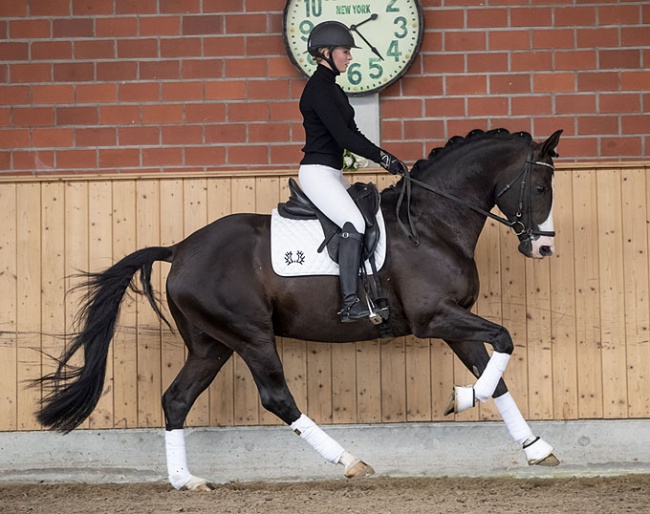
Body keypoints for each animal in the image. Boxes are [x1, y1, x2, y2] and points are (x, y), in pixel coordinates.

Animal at [34, 127, 560, 488]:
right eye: (539, 189)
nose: (543, 249)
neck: (431, 223)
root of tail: (180, 248)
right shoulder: (435, 318)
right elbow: (504, 342)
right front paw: (463, 397)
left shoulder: (454, 321)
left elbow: (497, 373)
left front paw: (535, 447)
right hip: (251, 336)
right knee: (277, 398)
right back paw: (350, 461)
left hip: (211, 344)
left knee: (177, 399)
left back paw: (187, 481)